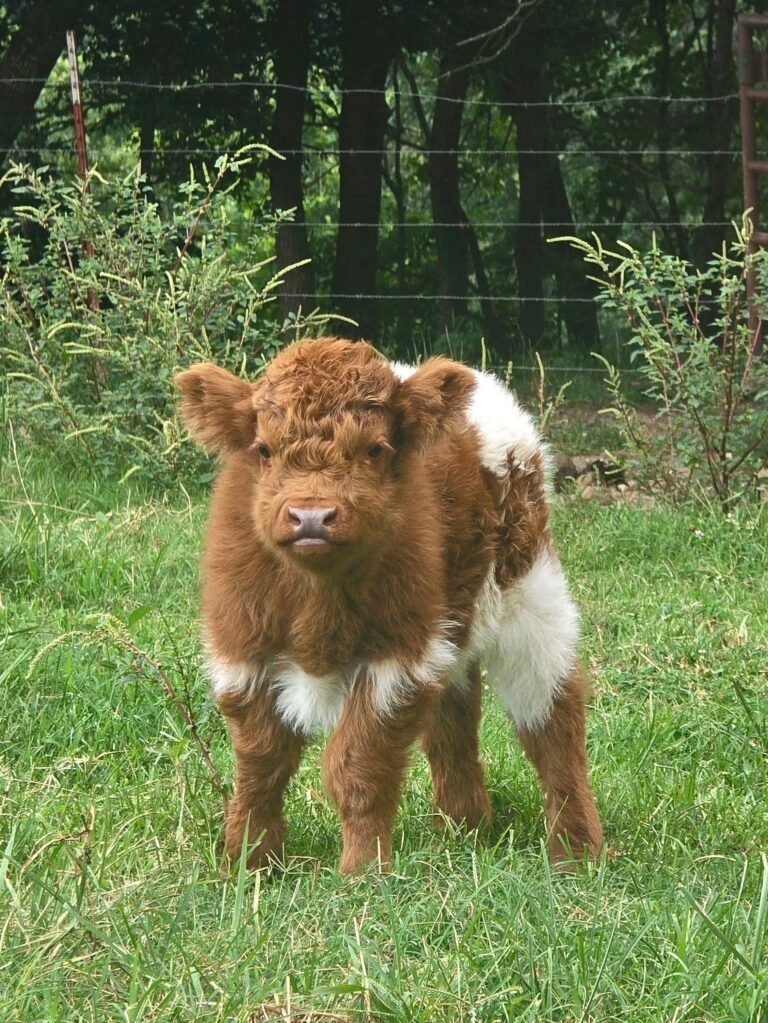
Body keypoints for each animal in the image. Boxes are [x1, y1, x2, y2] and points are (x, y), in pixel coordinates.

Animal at [176, 338, 603, 875]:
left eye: (375, 450)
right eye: (264, 450)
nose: (311, 516)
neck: (317, 597)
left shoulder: (399, 655)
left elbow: (356, 766)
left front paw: (363, 872)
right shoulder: (242, 650)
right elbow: (260, 766)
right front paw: (247, 864)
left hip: (531, 597)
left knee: (553, 720)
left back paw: (576, 852)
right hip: (454, 626)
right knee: (453, 721)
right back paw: (464, 831)